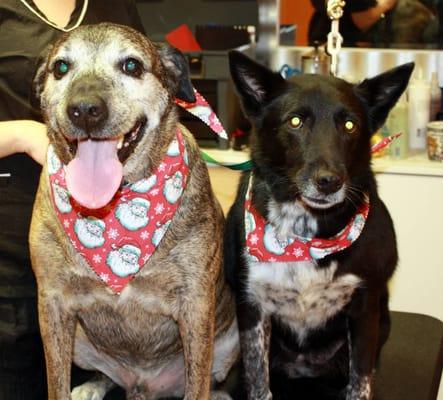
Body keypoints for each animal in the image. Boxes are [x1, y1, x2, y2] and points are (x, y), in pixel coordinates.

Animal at [29, 23, 239, 398]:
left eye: (131, 66)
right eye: (61, 68)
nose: (85, 109)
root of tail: (142, 384)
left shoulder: (195, 306)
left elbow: (197, 384)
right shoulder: (52, 302)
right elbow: (57, 383)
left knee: (209, 382)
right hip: (80, 342)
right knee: (103, 374)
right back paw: (92, 386)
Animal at [225, 51, 416, 398]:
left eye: (350, 125)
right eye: (295, 121)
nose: (329, 182)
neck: (306, 235)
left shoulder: (365, 308)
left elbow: (360, 379)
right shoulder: (251, 307)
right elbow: (258, 379)